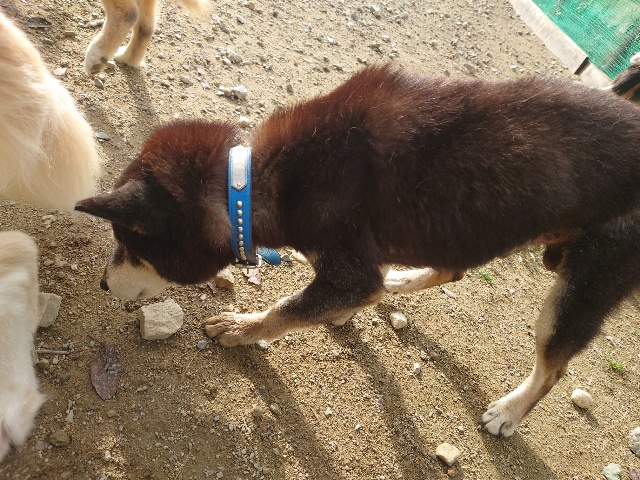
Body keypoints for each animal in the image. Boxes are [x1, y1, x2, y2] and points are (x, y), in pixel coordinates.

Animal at [75, 64, 640, 438]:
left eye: (128, 244)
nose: (100, 283)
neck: (252, 184)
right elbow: (332, 296)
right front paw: (340, 310)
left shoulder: (350, 267)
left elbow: (286, 308)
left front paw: (242, 327)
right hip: (467, 227)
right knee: (453, 269)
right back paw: (402, 281)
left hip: (584, 281)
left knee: (553, 368)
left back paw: (509, 411)